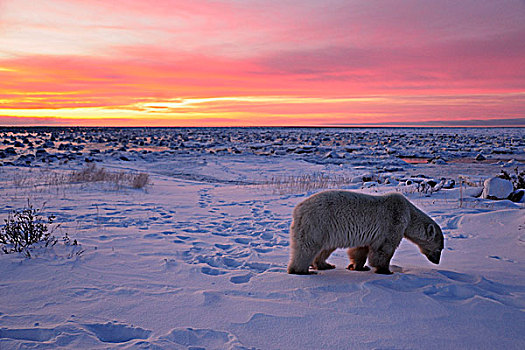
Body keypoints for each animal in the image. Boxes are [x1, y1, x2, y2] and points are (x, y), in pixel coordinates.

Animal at [286, 190, 442, 274]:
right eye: (439, 249)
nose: (437, 261)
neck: (409, 213)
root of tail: (298, 209)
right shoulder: (393, 221)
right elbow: (384, 249)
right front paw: (386, 270)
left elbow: (360, 249)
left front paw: (358, 267)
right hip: (318, 222)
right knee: (307, 247)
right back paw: (302, 270)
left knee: (325, 248)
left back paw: (325, 265)